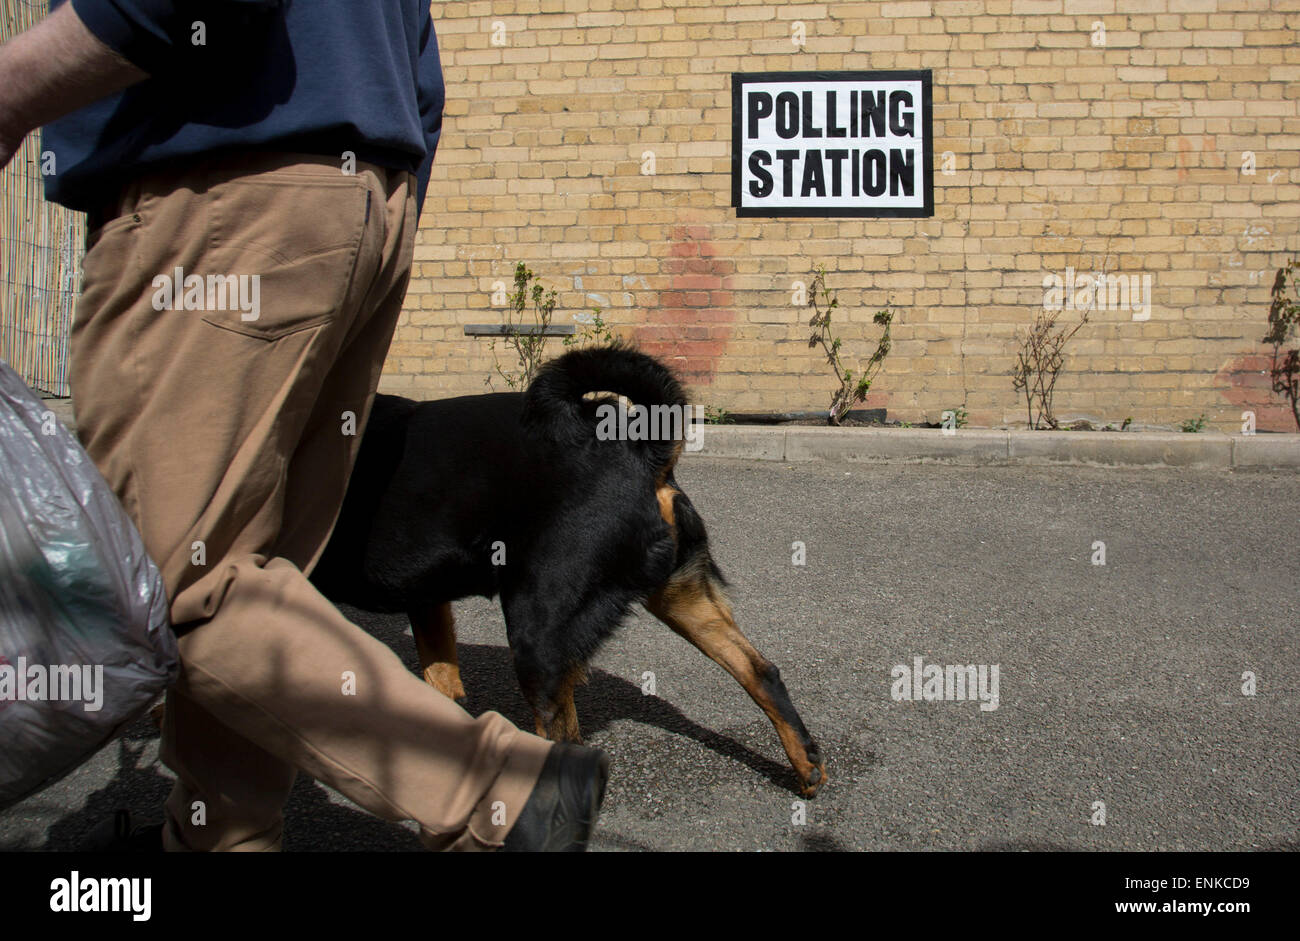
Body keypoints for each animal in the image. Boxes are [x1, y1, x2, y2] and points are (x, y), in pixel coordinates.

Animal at [310, 343, 826, 795]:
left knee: (565, 744)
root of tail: (640, 450)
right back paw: (805, 765)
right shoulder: (427, 601)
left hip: (539, 633)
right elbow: (441, 686)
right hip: (681, 597)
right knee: (760, 671)